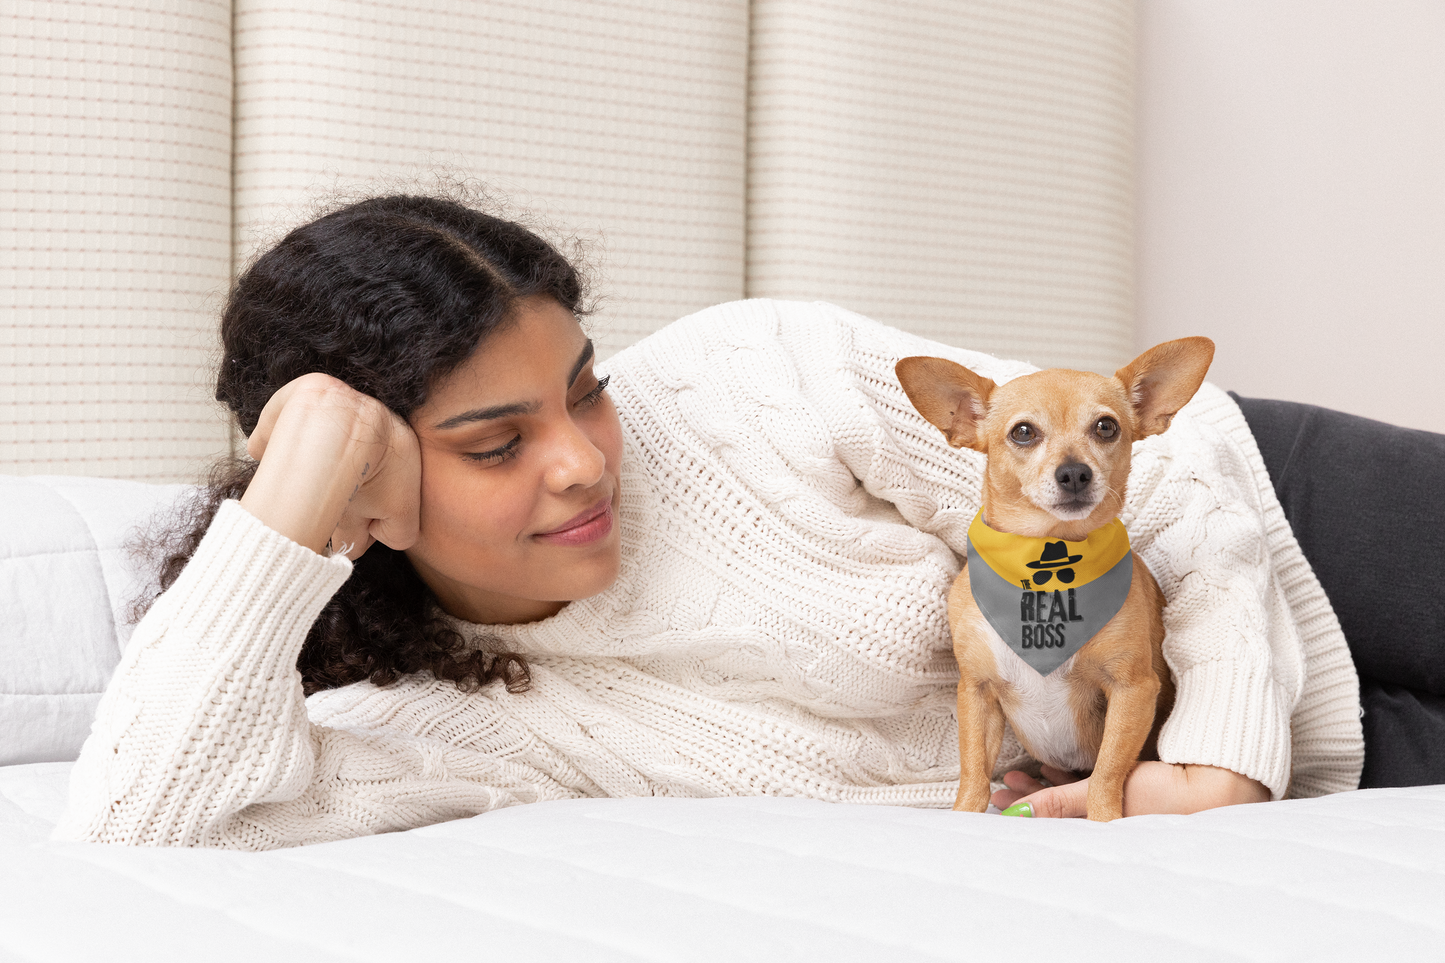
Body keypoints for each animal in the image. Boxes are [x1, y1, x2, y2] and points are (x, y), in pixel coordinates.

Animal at [895, 336, 1213, 815]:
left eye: (1106, 427)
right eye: (1023, 432)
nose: (1075, 472)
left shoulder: (1132, 690)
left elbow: (1107, 773)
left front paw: (1103, 819)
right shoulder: (978, 692)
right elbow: (973, 772)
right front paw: (964, 814)